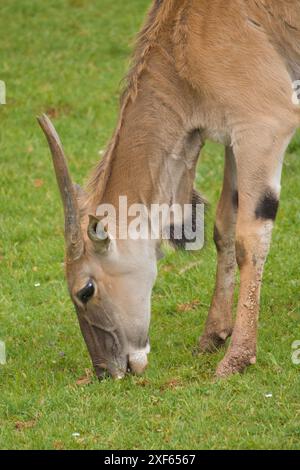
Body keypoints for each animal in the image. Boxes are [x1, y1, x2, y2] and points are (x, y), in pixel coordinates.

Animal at [38, 0, 300, 380]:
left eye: (85, 290)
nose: (106, 371)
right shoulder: (234, 136)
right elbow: (224, 228)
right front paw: (212, 336)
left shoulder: (262, 126)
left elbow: (249, 239)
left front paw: (236, 357)